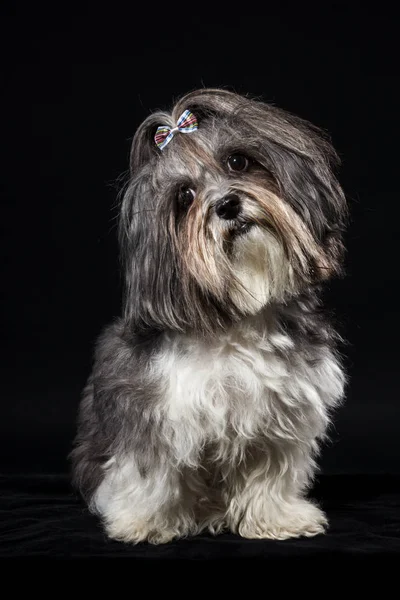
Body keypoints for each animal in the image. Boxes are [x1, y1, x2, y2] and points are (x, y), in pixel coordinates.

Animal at [71, 89, 346, 544]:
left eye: (238, 161)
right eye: (184, 196)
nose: (228, 204)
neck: (237, 322)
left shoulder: (280, 417)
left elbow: (271, 474)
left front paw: (277, 518)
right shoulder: (153, 413)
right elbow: (151, 475)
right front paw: (145, 521)